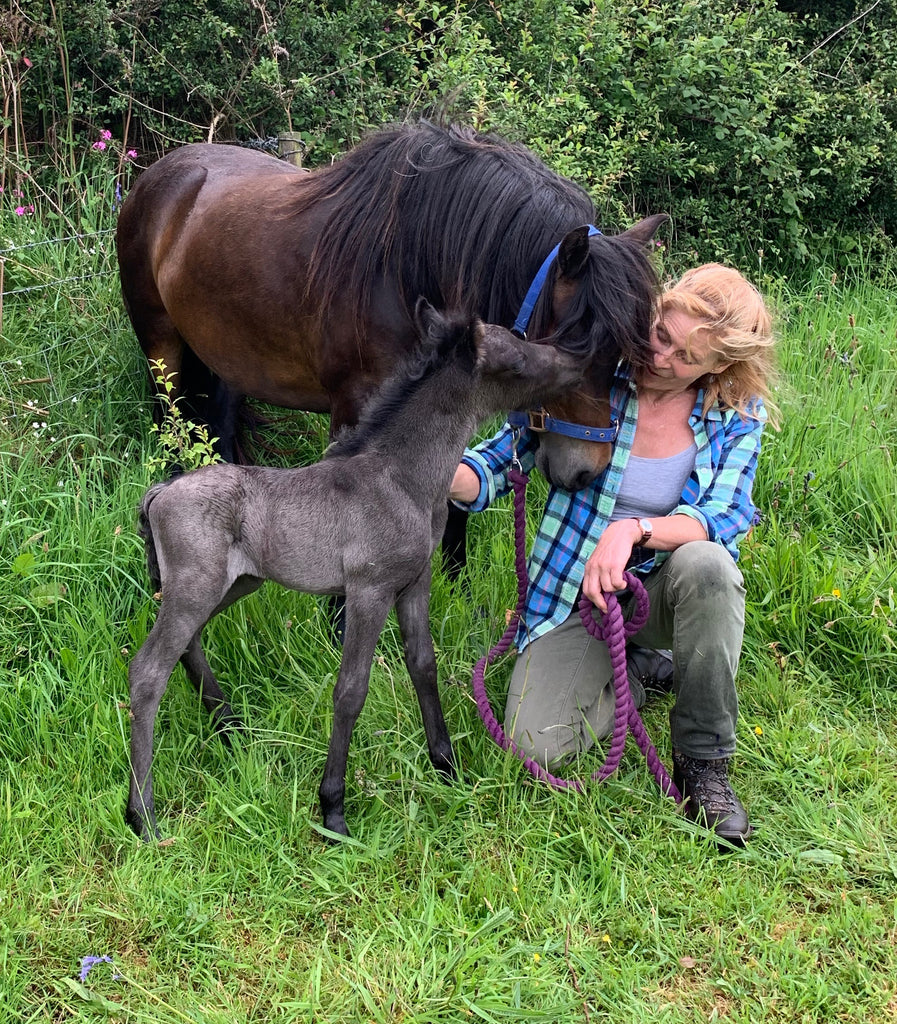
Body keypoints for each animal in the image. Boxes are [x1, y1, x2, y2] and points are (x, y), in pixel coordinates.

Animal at [127, 299, 581, 843]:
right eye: (515, 359)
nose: (572, 363)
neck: (403, 479)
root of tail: (159, 493)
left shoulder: (414, 583)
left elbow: (422, 664)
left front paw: (447, 769)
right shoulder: (369, 590)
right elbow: (351, 689)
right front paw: (333, 811)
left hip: (231, 584)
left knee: (187, 646)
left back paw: (230, 727)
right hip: (196, 587)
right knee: (148, 672)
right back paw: (143, 814)